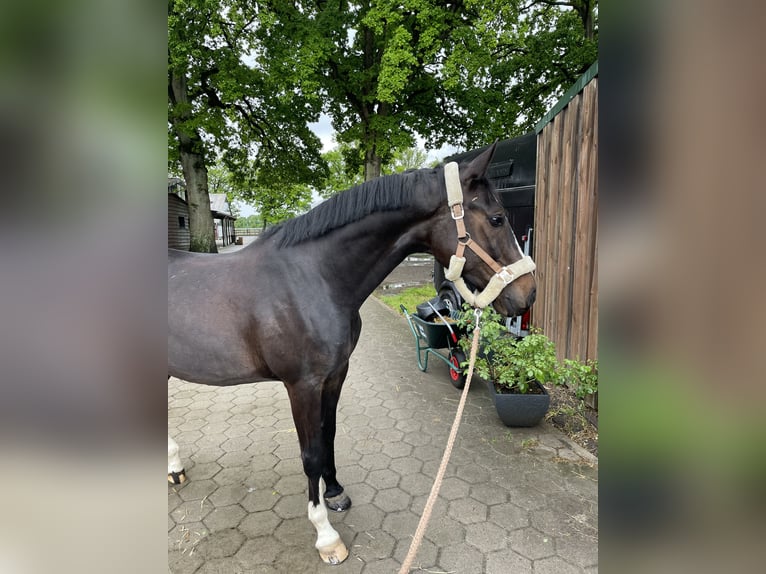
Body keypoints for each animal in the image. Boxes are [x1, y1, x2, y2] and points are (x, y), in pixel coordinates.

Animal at [167, 143, 536, 565]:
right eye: (496, 218)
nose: (528, 293)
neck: (314, 278)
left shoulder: (336, 374)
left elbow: (328, 433)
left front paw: (334, 492)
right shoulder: (302, 385)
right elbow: (310, 453)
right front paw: (326, 534)